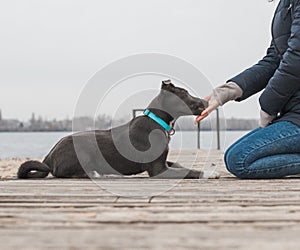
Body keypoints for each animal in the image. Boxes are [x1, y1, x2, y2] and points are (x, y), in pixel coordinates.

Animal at [18, 80, 220, 180]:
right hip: (82, 151)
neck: (157, 121)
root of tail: (48, 158)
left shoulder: (164, 163)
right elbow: (188, 171)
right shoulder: (158, 170)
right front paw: (210, 173)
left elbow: (179, 165)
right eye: (184, 93)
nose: (205, 103)